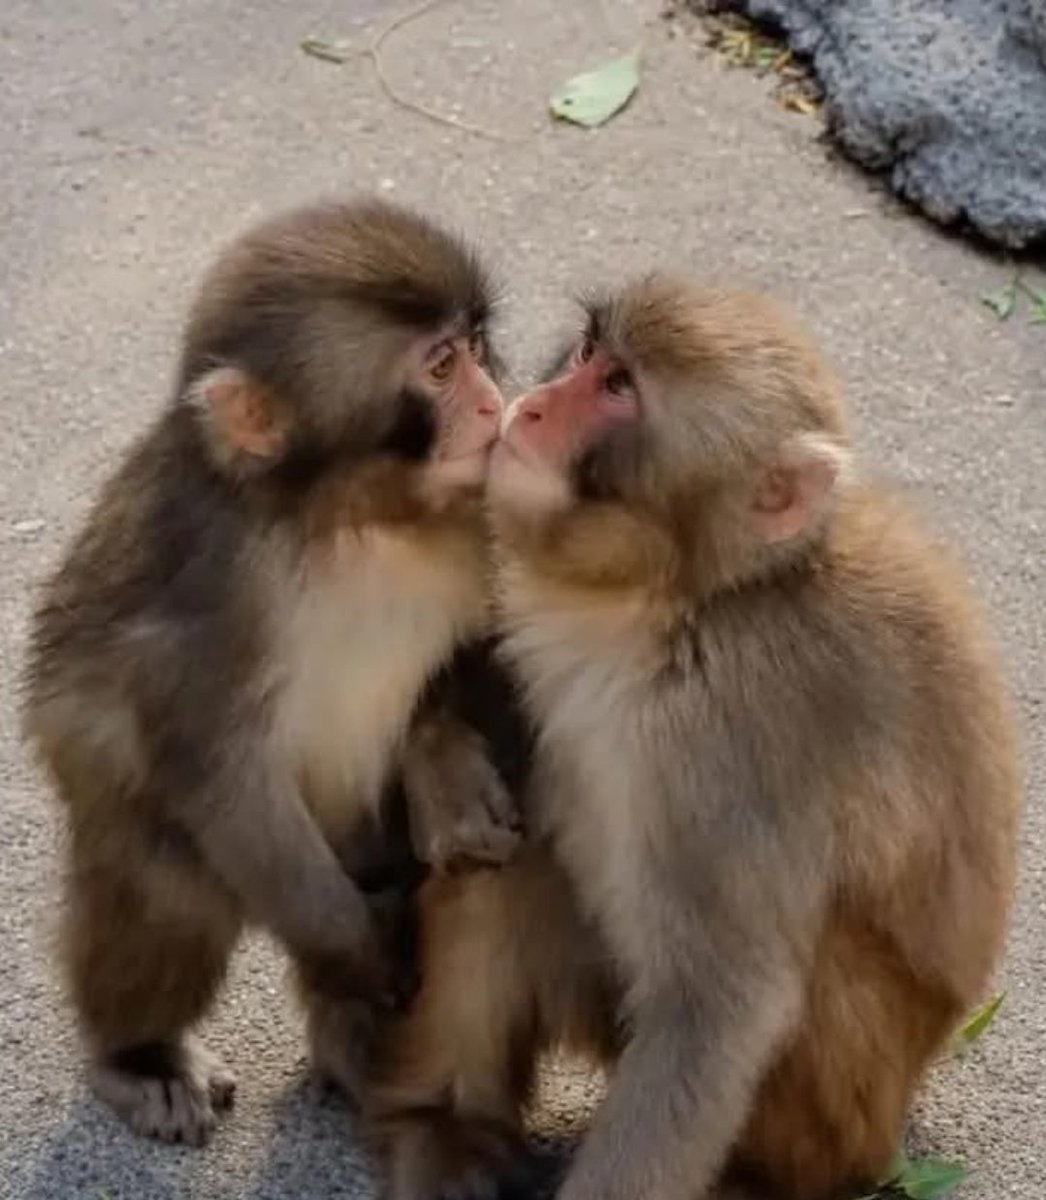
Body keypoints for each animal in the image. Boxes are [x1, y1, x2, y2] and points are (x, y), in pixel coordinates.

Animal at [21, 197, 526, 1147]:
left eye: (477, 345)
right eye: (441, 367)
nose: (494, 403)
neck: (352, 520)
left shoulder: (489, 500)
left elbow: (488, 649)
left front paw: (444, 775)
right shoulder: (209, 595)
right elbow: (219, 772)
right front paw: (355, 952)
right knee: (168, 887)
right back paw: (142, 1057)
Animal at [367, 277, 1022, 1200]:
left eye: (619, 389)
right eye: (587, 352)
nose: (531, 407)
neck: (687, 599)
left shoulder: (739, 733)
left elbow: (720, 1008)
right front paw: (446, 771)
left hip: (845, 1113)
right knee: (496, 877)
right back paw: (446, 1127)